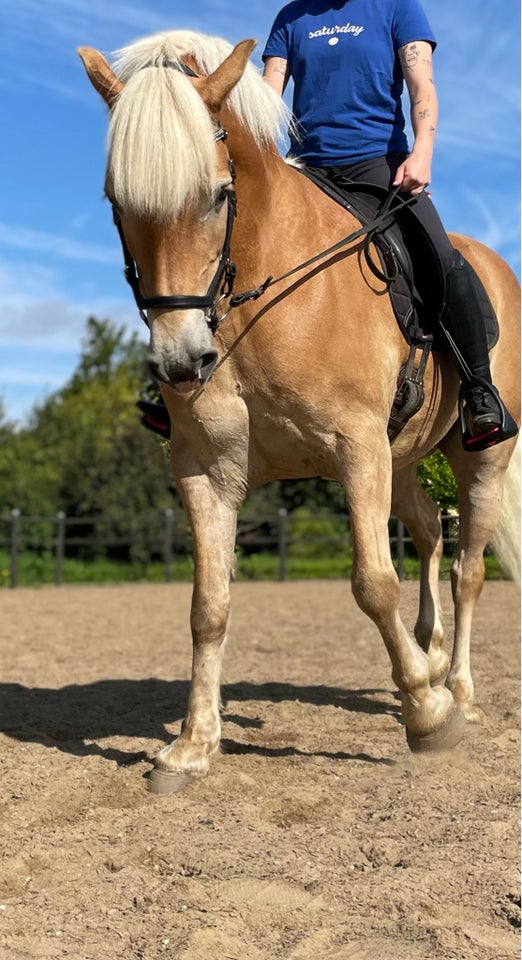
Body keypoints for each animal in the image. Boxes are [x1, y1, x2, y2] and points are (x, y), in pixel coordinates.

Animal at [78, 31, 520, 796]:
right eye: (117, 204)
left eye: (220, 195)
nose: (181, 363)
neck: (257, 297)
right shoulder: (206, 471)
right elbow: (208, 605)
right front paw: (192, 746)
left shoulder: (355, 447)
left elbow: (373, 583)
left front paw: (428, 717)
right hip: (404, 460)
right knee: (431, 535)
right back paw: (430, 658)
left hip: (481, 455)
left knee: (468, 569)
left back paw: (457, 690)